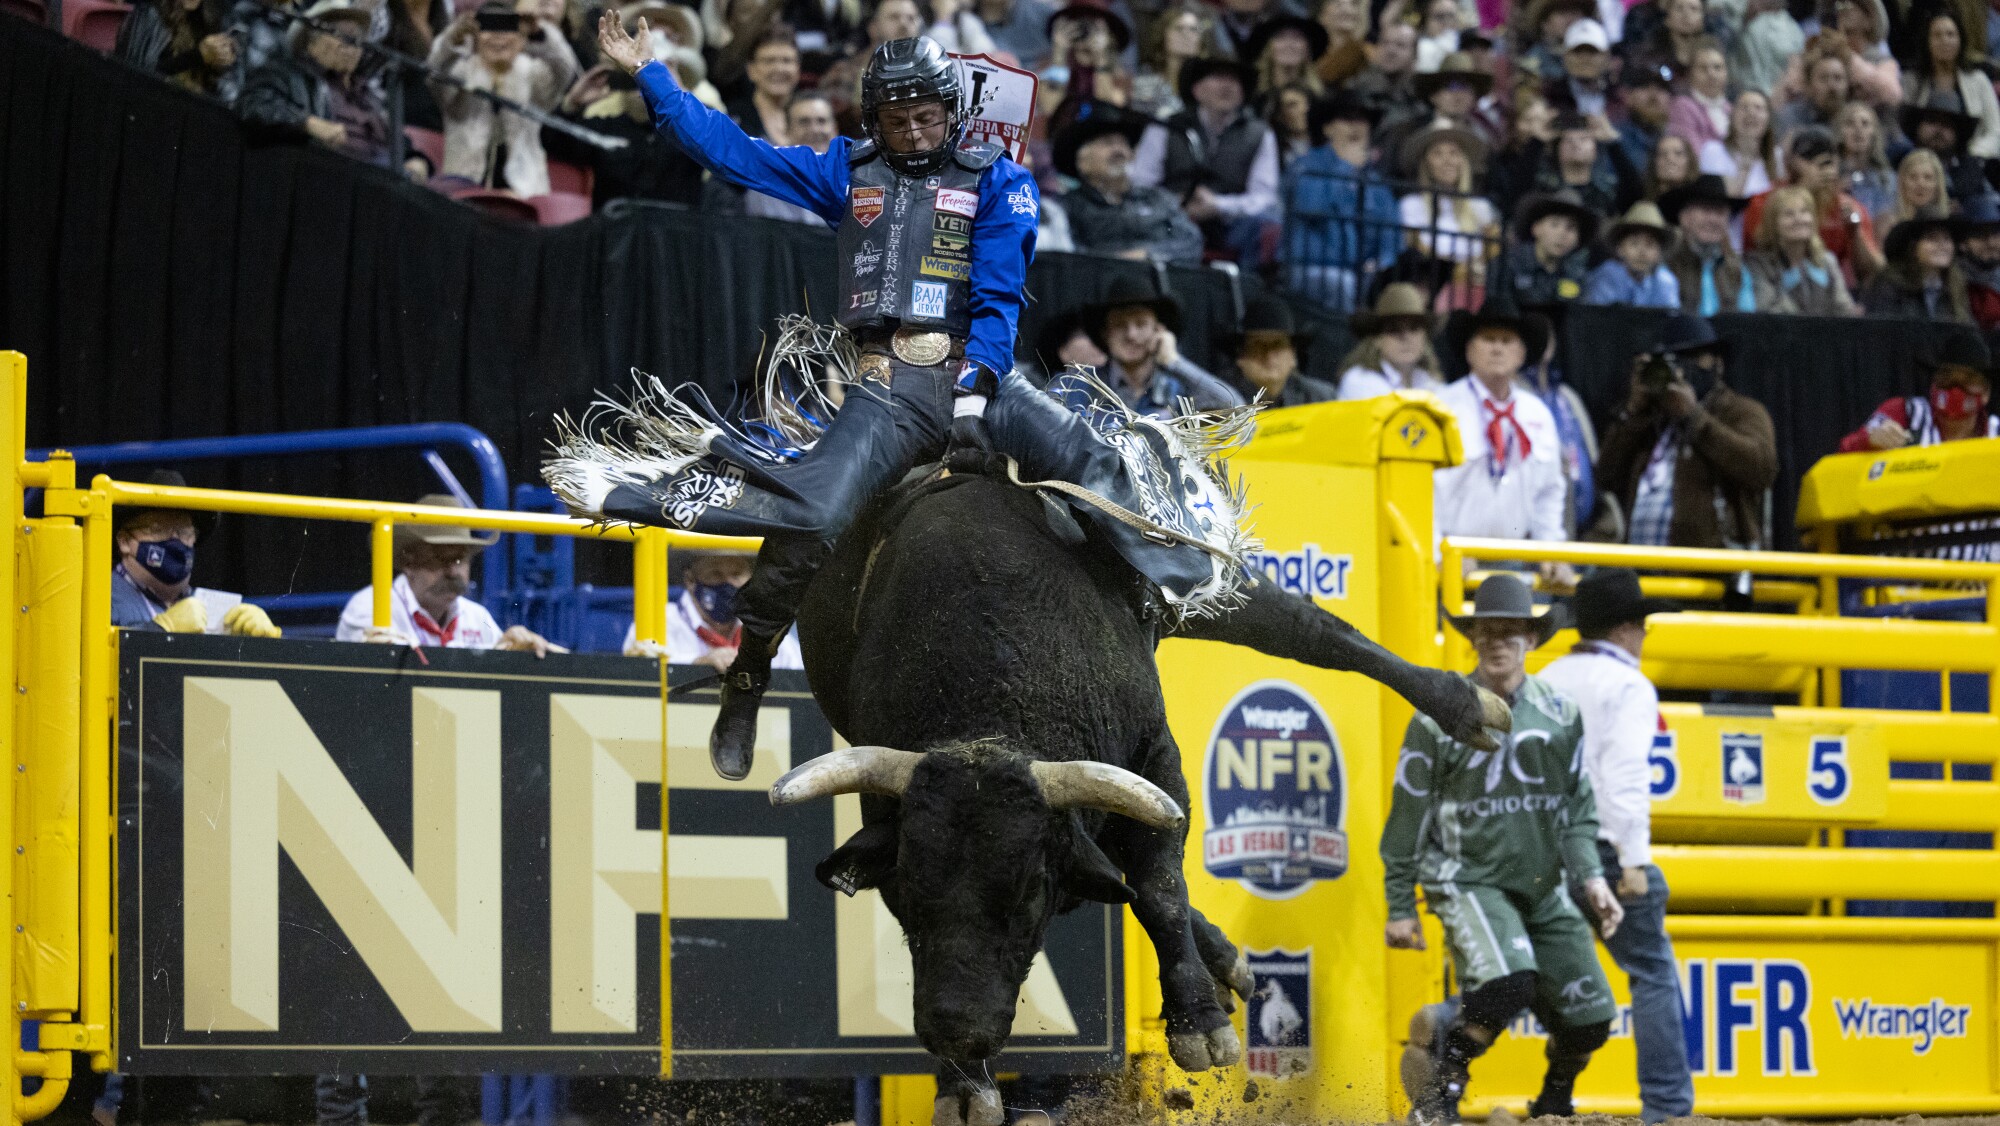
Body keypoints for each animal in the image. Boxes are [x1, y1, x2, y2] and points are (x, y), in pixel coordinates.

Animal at [767, 472, 1507, 1125]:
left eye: (1030, 892)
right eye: (905, 892)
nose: (958, 1032)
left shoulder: (1157, 760)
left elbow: (1159, 889)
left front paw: (1199, 1026)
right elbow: (1140, 881)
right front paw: (962, 1090)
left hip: (1194, 568)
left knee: (1314, 631)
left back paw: (1470, 706)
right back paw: (1225, 958)